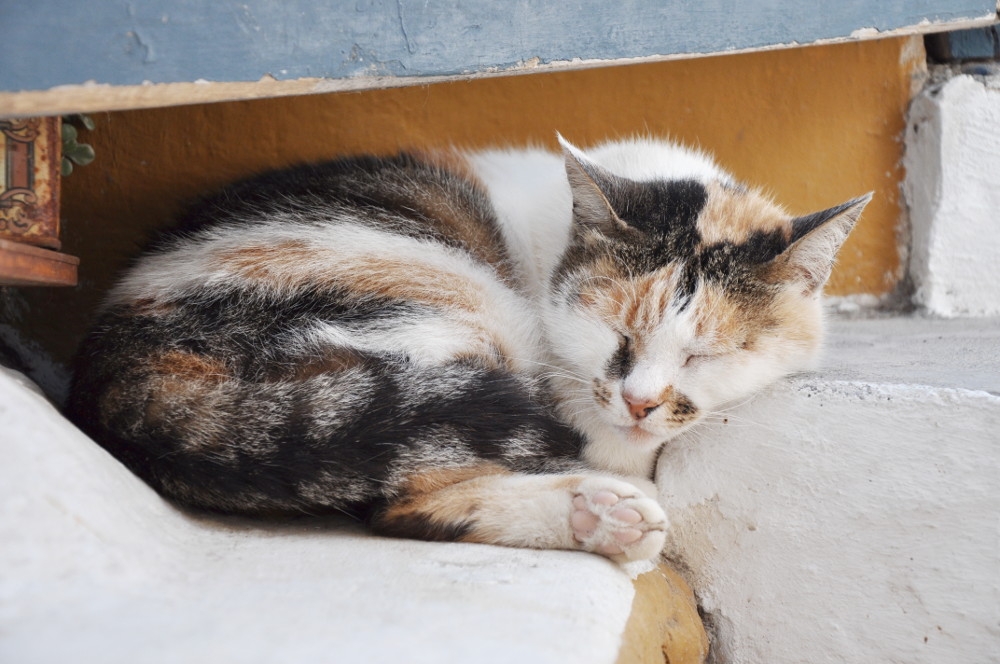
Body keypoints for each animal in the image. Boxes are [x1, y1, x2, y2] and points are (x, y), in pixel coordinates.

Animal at [68, 137, 868, 564]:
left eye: (705, 355)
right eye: (619, 337)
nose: (640, 401)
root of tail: (112, 359)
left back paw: (599, 518)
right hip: (453, 300)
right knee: (401, 498)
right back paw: (607, 514)